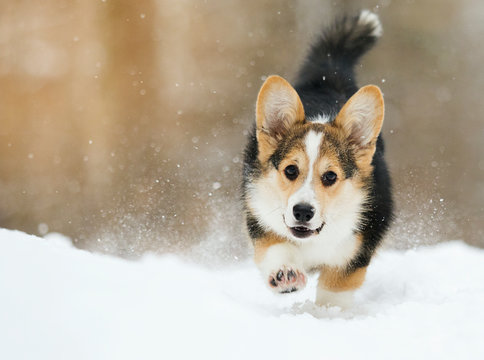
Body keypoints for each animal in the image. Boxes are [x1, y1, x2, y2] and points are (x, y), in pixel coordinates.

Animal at [242, 9, 394, 306]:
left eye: (330, 176)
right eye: (290, 170)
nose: (302, 211)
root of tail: (327, 77)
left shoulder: (357, 248)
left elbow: (336, 287)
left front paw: (326, 313)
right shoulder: (259, 214)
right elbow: (274, 246)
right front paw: (285, 275)